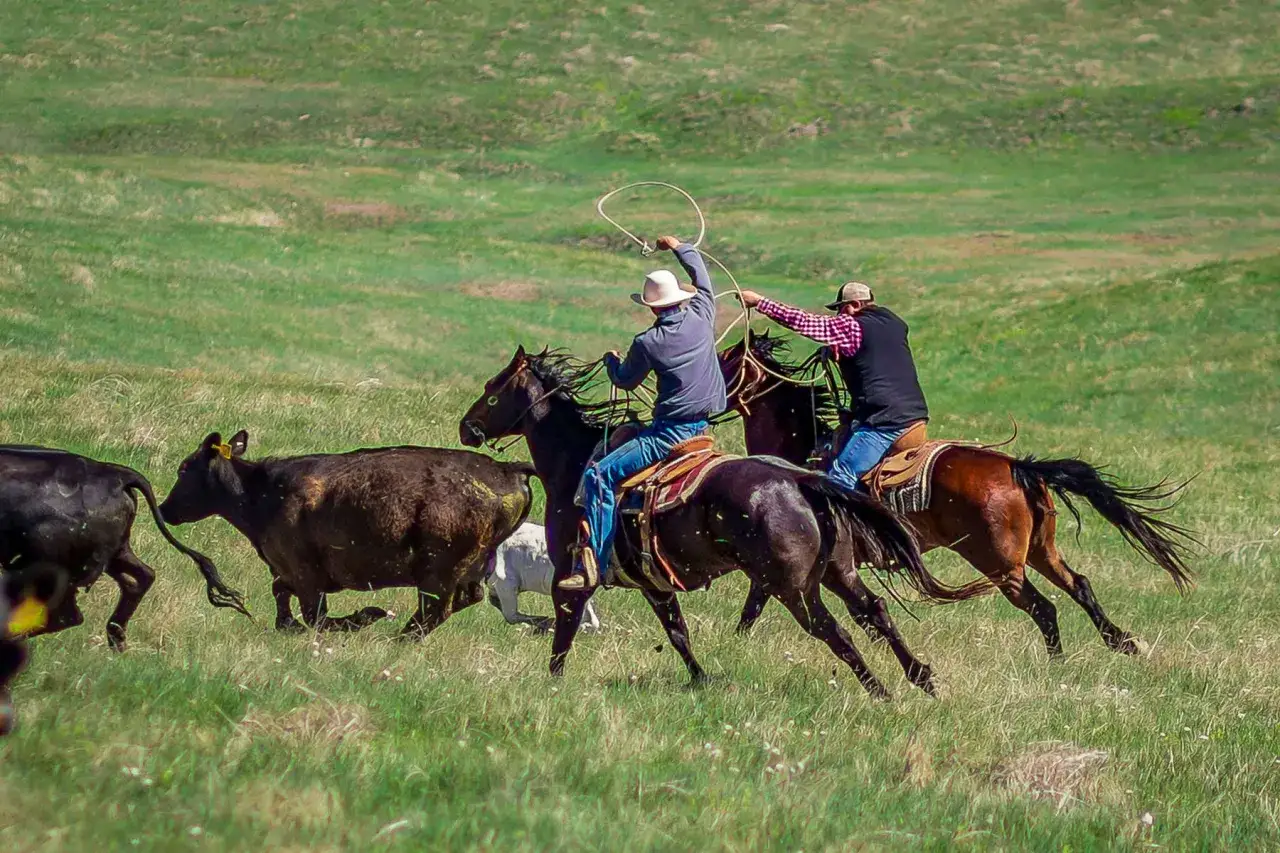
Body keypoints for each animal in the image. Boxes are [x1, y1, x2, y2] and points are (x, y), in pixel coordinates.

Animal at [0, 446, 248, 651]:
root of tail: (117, 475)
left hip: (51, 566)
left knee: (66, 614)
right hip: (116, 553)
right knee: (141, 577)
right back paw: (117, 637)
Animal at [159, 431, 537, 638]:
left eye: (184, 469)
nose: (163, 509)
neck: (264, 491)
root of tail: (509, 469)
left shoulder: (305, 574)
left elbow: (315, 617)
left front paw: (365, 616)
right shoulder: (289, 573)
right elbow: (283, 602)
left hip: (439, 572)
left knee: (435, 610)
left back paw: (392, 637)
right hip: (466, 569)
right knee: (461, 601)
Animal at [459, 346, 991, 698]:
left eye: (491, 392)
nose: (467, 428)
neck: (575, 461)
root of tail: (799, 481)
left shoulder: (572, 576)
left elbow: (566, 627)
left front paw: (551, 682)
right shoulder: (654, 583)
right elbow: (677, 632)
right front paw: (700, 678)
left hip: (795, 588)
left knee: (832, 630)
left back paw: (879, 691)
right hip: (838, 572)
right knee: (873, 612)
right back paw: (921, 678)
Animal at [718, 334, 1197, 658]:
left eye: (723, 362)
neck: (802, 451)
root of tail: (1018, 468)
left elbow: (757, 601)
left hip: (1000, 564)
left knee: (1044, 607)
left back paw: (1058, 663)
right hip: (1040, 550)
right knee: (1079, 586)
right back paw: (1121, 643)